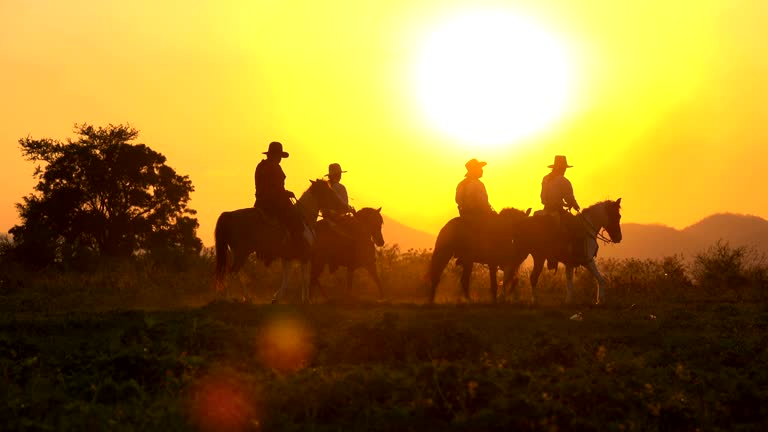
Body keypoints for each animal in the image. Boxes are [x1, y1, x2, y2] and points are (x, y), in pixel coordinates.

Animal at [216, 179, 348, 304]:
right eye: (329, 192)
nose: (345, 207)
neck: (304, 219)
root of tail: (229, 215)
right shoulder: (305, 256)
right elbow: (305, 278)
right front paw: (306, 300)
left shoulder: (288, 257)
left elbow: (287, 277)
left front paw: (277, 298)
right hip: (242, 252)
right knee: (232, 273)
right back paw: (231, 298)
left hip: (238, 253)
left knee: (237, 274)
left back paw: (246, 298)